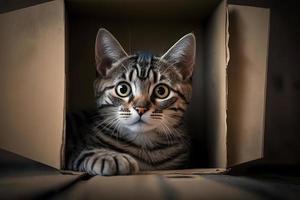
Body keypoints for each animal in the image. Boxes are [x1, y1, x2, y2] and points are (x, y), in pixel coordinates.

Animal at [66, 27, 196, 175]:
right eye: (123, 89)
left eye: (161, 91)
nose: (141, 109)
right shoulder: (74, 150)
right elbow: (84, 151)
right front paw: (109, 156)